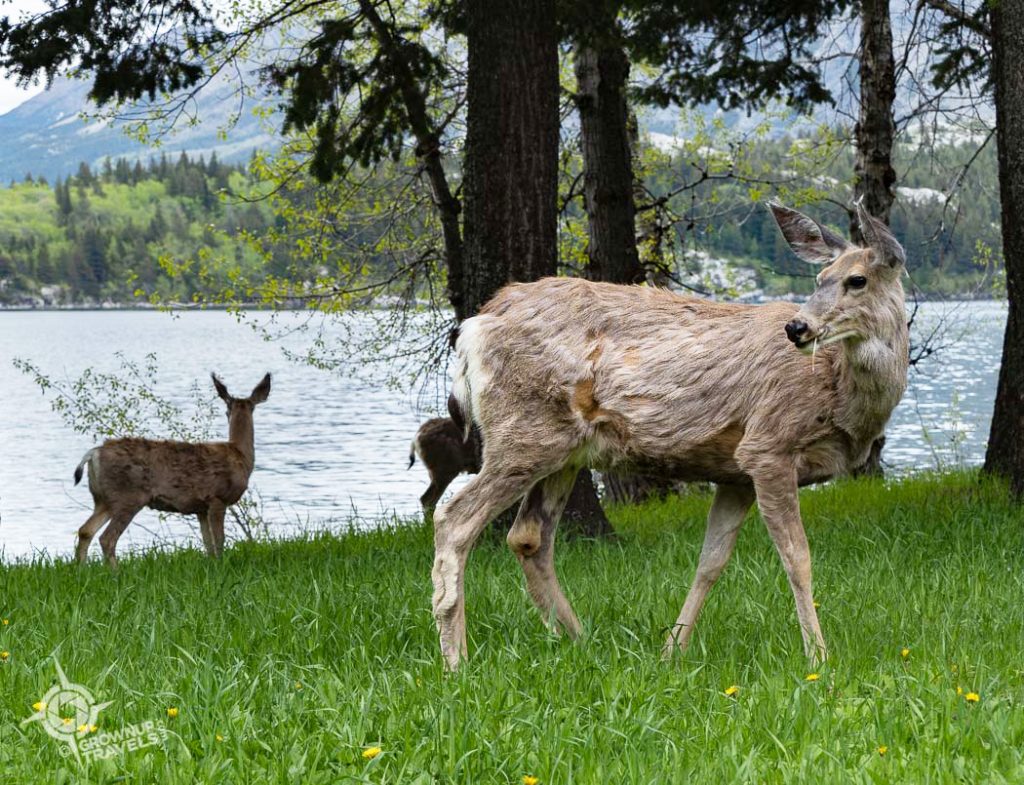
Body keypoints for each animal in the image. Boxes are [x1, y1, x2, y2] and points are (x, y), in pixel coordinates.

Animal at [72, 373, 271, 567]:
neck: (240, 454)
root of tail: (94, 453)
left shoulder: (200, 508)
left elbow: (207, 543)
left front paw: (211, 566)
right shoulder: (217, 498)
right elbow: (219, 541)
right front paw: (221, 566)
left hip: (103, 499)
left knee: (85, 531)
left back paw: (81, 569)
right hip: (128, 496)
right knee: (107, 538)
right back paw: (115, 572)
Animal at [431, 202, 909, 670]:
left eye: (857, 280)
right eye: (819, 278)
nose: (797, 328)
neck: (841, 397)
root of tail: (475, 326)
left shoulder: (735, 473)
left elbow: (710, 562)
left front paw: (671, 649)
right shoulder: (769, 444)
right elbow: (798, 559)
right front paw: (819, 657)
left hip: (562, 449)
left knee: (529, 536)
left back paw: (582, 642)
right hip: (523, 432)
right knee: (454, 519)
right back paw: (457, 660)